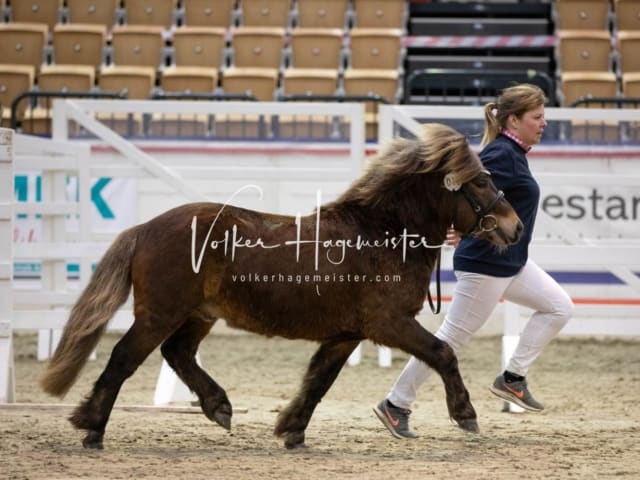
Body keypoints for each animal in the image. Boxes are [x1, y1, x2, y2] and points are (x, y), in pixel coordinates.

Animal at [40, 123, 524, 450]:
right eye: (483, 181)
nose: (515, 227)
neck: (381, 234)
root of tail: (145, 227)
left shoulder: (345, 335)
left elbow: (318, 381)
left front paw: (292, 430)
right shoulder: (389, 323)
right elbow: (443, 353)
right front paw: (466, 414)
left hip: (197, 315)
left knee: (178, 353)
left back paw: (219, 407)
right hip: (160, 313)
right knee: (124, 358)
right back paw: (92, 428)